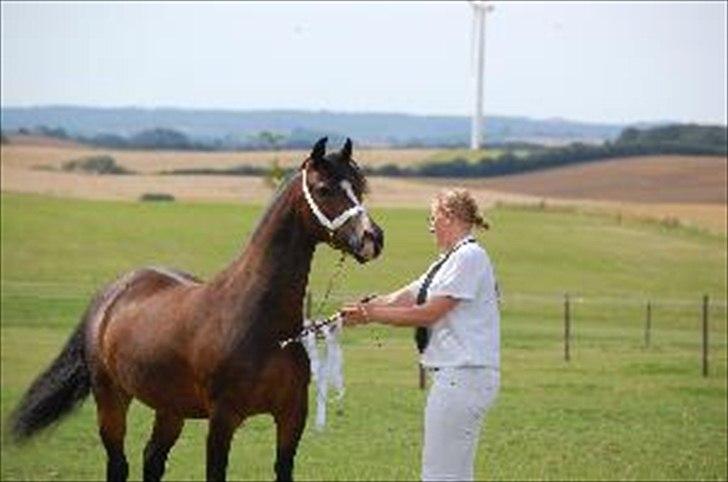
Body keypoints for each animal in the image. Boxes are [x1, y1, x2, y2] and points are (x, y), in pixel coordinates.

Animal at [8, 137, 384, 482]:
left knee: (152, 459)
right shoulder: (222, 418)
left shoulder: (292, 416)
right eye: (324, 189)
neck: (261, 324)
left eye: (359, 186)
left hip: (169, 408)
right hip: (111, 398)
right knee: (119, 465)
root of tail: (110, 295)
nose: (373, 238)